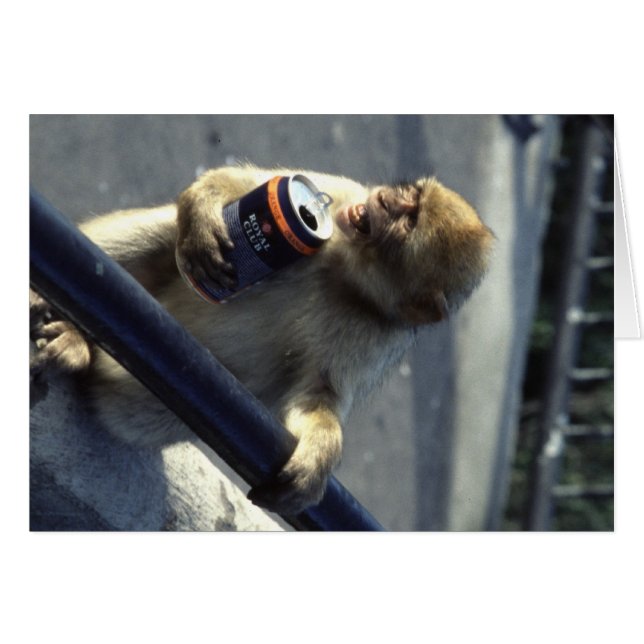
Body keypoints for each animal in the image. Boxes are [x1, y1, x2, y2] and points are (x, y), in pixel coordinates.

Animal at [30, 164, 495, 516]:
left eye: (409, 220)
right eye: (409, 196)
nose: (386, 201)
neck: (346, 271)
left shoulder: (376, 338)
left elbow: (319, 396)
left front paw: (320, 454)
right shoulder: (344, 196)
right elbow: (248, 183)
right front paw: (205, 210)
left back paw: (79, 347)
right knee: (165, 232)